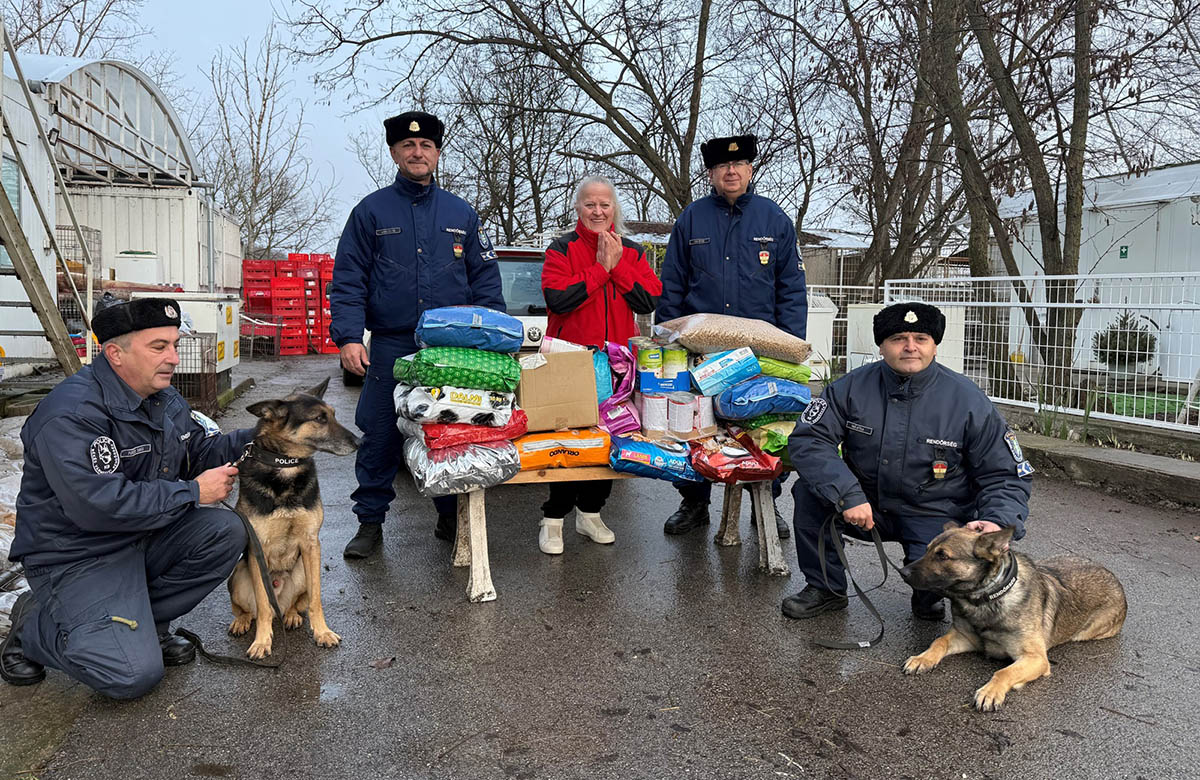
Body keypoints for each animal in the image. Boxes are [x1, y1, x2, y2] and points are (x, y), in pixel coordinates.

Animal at [225, 376, 355, 657]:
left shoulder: (311, 544)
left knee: (296, 604)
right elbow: (263, 606)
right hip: (238, 575)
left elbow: (316, 599)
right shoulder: (258, 548)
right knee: (248, 609)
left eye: (333, 414)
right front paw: (262, 641)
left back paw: (292, 615)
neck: (286, 466)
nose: (359, 442)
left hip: (302, 572)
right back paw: (242, 621)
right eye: (319, 418)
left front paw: (322, 632)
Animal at [902, 523, 1123, 710]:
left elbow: (1005, 671)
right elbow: (938, 641)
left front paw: (991, 691)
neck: (987, 599)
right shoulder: (964, 637)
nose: (902, 571)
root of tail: (1113, 576)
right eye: (927, 550)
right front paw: (923, 658)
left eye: (943, 556)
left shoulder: (1036, 658)